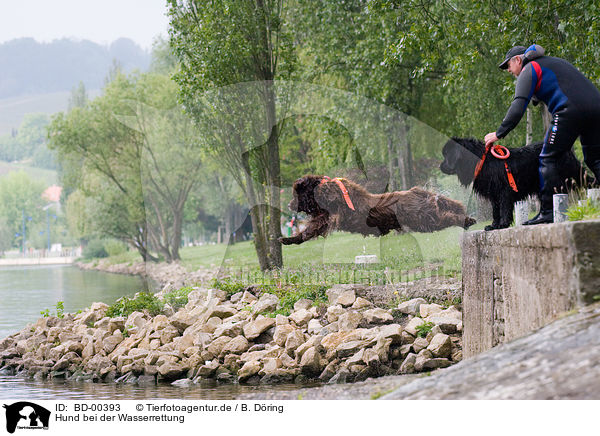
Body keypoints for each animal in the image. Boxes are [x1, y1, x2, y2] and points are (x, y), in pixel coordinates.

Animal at [278, 176, 476, 245]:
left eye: (296, 194)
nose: (288, 205)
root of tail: (417, 192)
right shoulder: (324, 217)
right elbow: (309, 230)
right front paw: (287, 239)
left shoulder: (329, 216)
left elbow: (311, 229)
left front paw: (287, 239)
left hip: (422, 219)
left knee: (447, 217)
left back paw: (468, 221)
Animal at [438, 138, 588, 230]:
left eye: (447, 155)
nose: (440, 166)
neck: (481, 161)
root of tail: (568, 151)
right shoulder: (493, 193)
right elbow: (495, 210)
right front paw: (493, 225)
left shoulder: (504, 191)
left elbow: (504, 208)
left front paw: (503, 224)